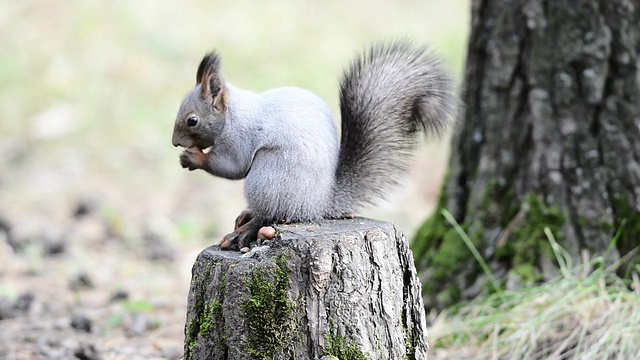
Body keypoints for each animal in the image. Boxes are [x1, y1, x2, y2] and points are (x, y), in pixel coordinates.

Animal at [172, 41, 458, 250]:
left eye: (192, 120)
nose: (175, 142)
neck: (233, 113)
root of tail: (319, 204)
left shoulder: (238, 139)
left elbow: (231, 167)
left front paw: (193, 158)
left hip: (269, 177)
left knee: (270, 213)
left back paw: (246, 229)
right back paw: (246, 216)